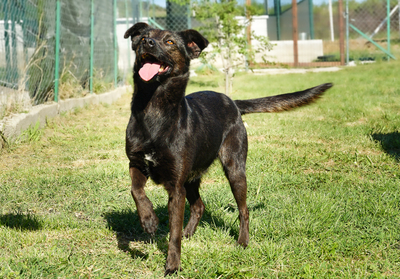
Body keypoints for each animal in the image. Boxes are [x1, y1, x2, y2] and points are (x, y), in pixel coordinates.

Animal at [123, 22, 332, 276]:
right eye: (143, 37)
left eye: (169, 41)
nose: (148, 43)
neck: (155, 111)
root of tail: (233, 102)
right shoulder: (137, 164)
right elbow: (136, 190)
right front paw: (149, 219)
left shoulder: (176, 187)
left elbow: (173, 235)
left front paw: (172, 265)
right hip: (191, 178)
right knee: (199, 206)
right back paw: (189, 232)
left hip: (234, 170)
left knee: (244, 210)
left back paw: (242, 241)